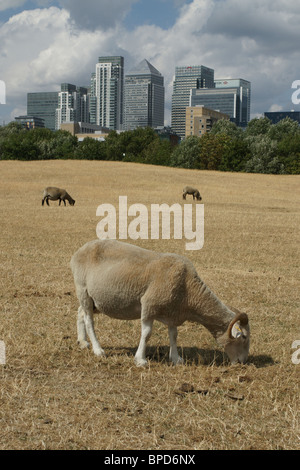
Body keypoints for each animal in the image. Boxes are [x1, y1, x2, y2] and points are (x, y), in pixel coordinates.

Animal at [69, 239, 248, 368]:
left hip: (95, 300)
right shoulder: (149, 305)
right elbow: (147, 334)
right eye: (244, 337)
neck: (188, 290)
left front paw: (176, 358)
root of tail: (79, 250)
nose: (242, 362)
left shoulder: (173, 312)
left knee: (80, 313)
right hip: (83, 289)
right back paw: (98, 350)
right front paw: (140, 360)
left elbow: (174, 335)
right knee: (89, 321)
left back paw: (82, 342)